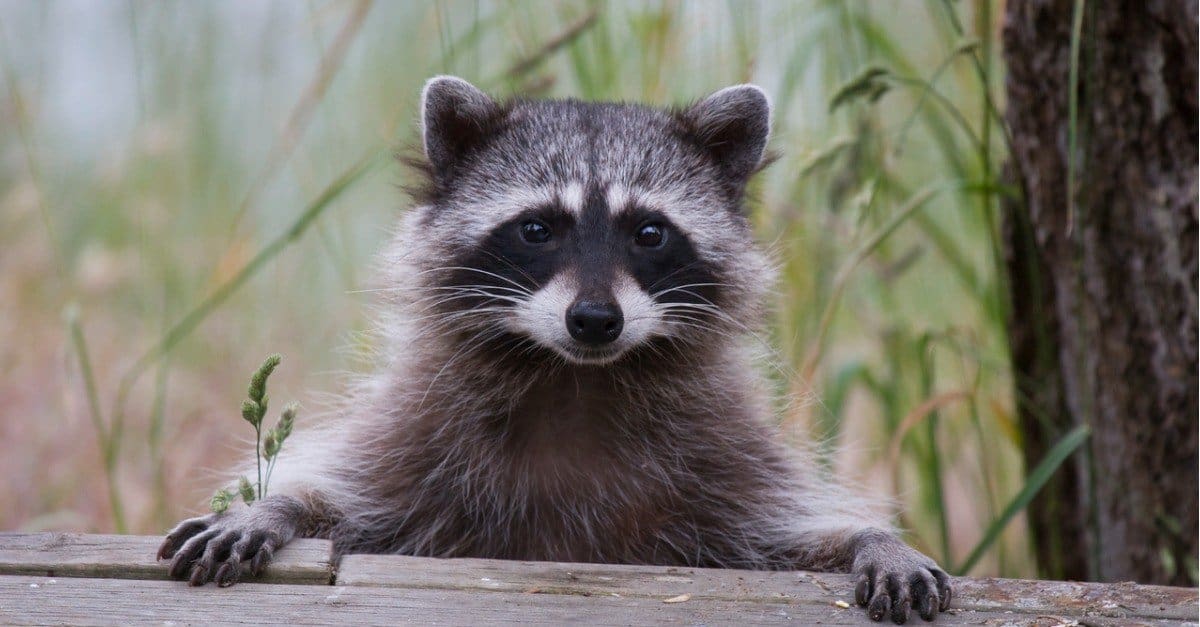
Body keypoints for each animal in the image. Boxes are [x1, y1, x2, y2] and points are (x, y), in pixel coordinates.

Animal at [157, 76, 952, 624]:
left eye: (650, 232)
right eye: (537, 228)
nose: (595, 320)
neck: (574, 378)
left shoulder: (723, 458)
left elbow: (784, 533)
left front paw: (872, 538)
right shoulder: (420, 435)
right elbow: (352, 498)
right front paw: (275, 506)